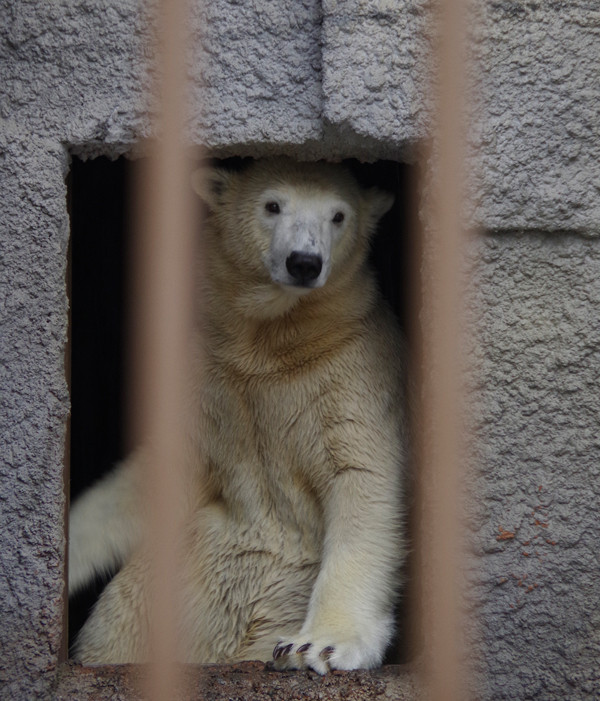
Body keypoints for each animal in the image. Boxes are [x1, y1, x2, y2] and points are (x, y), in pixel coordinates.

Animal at [69, 156, 408, 668]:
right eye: (272, 205)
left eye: (338, 215)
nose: (304, 262)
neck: (273, 347)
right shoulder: (209, 384)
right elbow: (155, 475)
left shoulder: (355, 375)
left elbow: (361, 482)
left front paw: (319, 645)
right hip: (175, 586)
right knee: (117, 631)